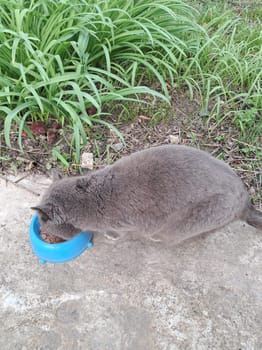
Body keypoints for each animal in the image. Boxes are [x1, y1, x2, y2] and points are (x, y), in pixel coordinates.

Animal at [32, 144, 262, 245]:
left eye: (44, 224)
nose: (44, 233)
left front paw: (110, 236)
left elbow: (115, 232)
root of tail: (246, 200)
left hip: (195, 219)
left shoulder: (120, 224)